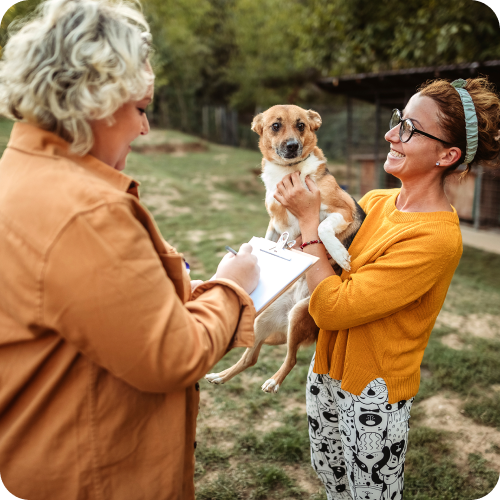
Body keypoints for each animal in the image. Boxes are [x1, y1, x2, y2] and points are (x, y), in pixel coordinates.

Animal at [205, 105, 365, 393]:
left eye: (301, 125)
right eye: (276, 126)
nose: (292, 146)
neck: (289, 172)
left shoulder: (342, 209)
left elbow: (322, 228)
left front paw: (339, 255)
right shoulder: (274, 224)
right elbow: (265, 239)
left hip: (299, 315)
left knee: (290, 359)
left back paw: (273, 381)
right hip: (263, 318)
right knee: (250, 357)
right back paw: (220, 376)